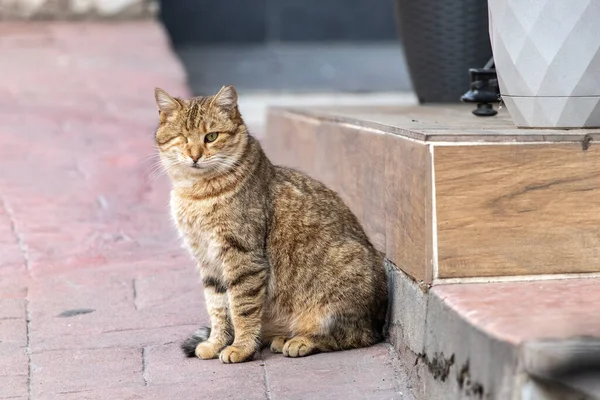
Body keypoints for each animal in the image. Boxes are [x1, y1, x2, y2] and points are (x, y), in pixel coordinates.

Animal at [155, 86, 390, 364]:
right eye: (182, 138)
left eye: (211, 137)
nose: (194, 156)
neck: (196, 193)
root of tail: (380, 319)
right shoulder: (207, 260)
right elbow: (217, 308)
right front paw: (215, 343)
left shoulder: (242, 256)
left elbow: (241, 309)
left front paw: (241, 347)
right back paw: (281, 338)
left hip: (344, 284)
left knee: (354, 335)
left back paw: (301, 341)